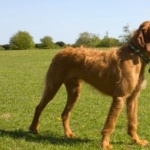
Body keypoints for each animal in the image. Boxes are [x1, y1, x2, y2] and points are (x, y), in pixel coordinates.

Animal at [29, 20, 150, 149]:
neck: (135, 54)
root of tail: (60, 52)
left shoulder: (133, 98)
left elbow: (133, 122)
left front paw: (137, 141)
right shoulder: (119, 97)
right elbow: (110, 124)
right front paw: (105, 144)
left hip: (74, 91)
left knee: (65, 114)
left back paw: (68, 133)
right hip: (53, 86)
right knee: (39, 107)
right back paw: (33, 128)